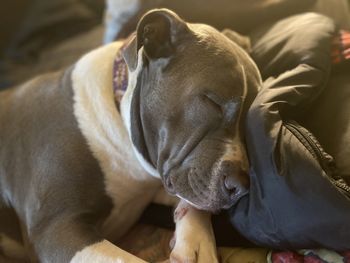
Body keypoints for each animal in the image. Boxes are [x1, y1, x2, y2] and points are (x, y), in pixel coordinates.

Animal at [0, 8, 262, 263]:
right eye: (212, 101)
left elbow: (192, 200)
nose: (241, 185)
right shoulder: (55, 226)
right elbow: (126, 259)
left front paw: (196, 242)